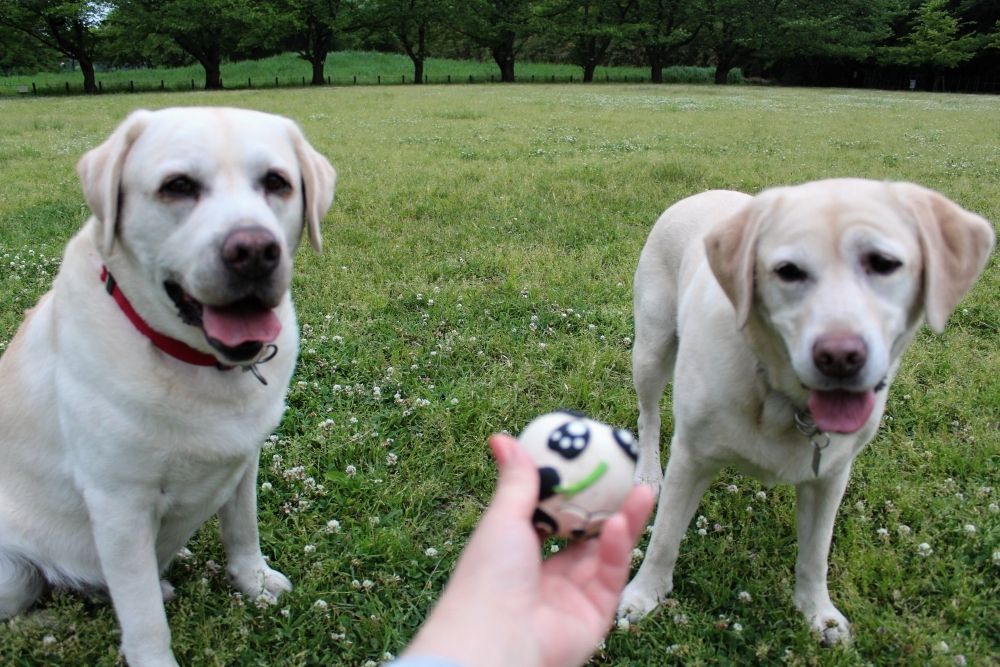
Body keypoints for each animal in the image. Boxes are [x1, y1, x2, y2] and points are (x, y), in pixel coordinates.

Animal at [0, 107, 336, 666]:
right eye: (178, 186)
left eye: (276, 182)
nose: (254, 251)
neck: (198, 364)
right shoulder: (119, 503)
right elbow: (143, 618)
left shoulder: (244, 459)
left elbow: (242, 528)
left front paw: (253, 581)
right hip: (11, 569)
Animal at [618, 179, 994, 644]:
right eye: (788, 271)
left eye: (883, 263)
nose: (840, 356)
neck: (782, 398)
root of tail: (704, 192)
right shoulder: (691, 457)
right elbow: (665, 537)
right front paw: (642, 597)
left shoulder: (830, 474)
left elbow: (816, 553)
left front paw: (818, 614)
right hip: (652, 348)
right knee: (648, 415)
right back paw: (648, 473)